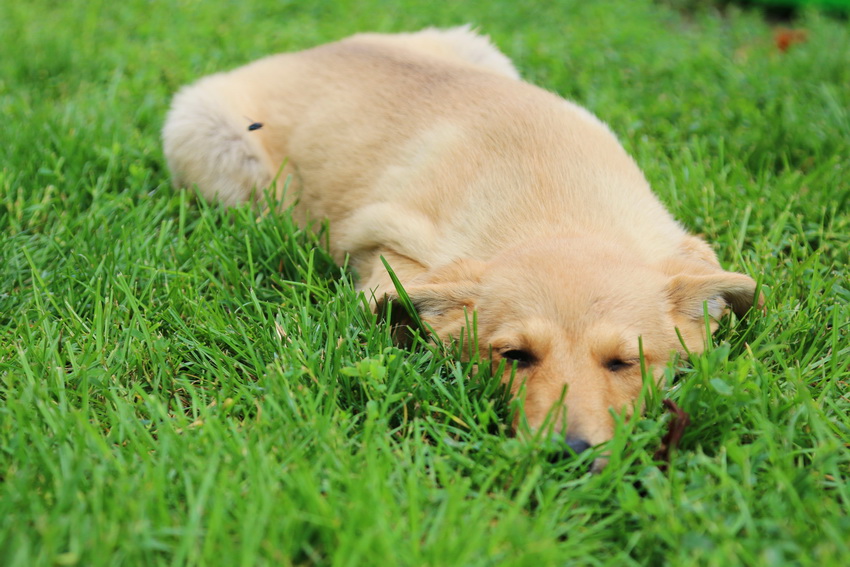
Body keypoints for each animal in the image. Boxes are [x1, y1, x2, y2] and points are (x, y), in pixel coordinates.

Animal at [162, 27, 760, 466]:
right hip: (215, 146)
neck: (553, 211)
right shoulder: (390, 250)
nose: (567, 456)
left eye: (623, 362)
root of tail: (308, 51)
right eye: (515, 357)